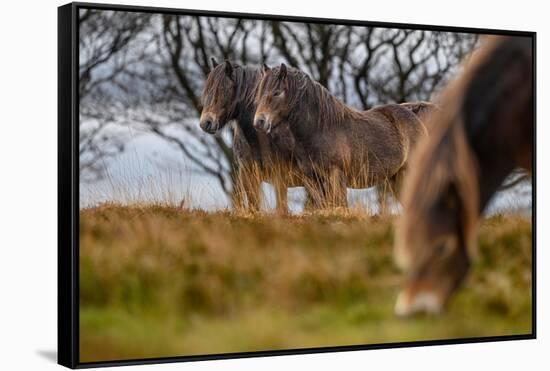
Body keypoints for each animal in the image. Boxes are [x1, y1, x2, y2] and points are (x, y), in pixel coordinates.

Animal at [201, 59, 306, 214]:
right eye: (207, 90)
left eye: (224, 90)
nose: (205, 123)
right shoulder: (247, 175)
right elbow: (253, 205)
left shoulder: (280, 177)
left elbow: (281, 209)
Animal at [254, 64, 432, 209]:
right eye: (259, 94)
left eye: (276, 93)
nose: (259, 122)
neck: (320, 129)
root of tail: (412, 112)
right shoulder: (312, 180)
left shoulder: (336, 176)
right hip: (396, 178)